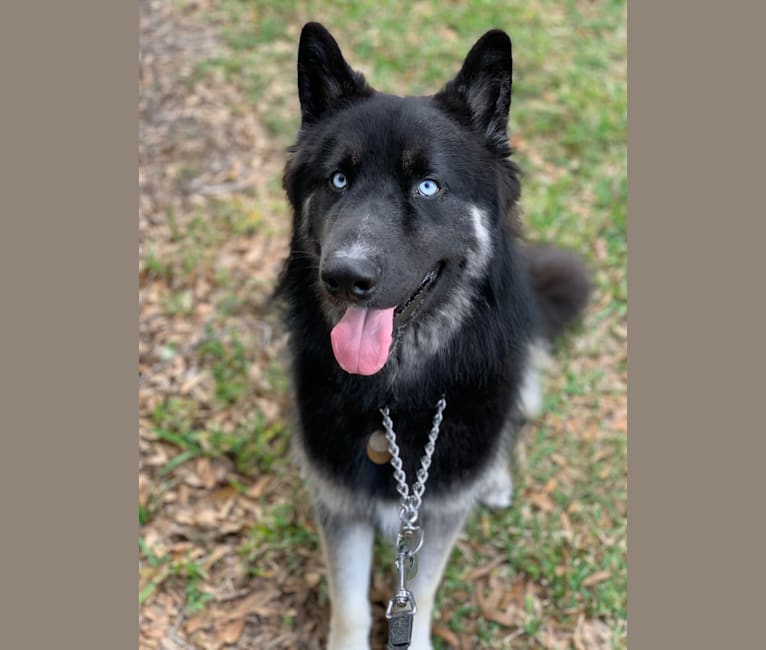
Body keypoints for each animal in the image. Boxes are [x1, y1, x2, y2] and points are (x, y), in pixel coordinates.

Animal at [280, 21, 592, 648]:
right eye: (338, 179)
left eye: (427, 186)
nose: (344, 276)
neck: (396, 397)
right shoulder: (341, 503)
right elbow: (350, 606)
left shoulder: (436, 512)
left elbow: (419, 594)